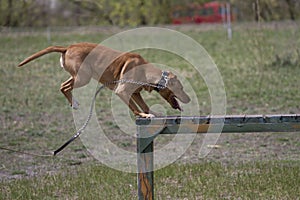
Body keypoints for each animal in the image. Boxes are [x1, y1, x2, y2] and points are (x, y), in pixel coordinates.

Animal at [18, 42, 190, 117]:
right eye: (181, 88)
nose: (188, 99)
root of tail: (67, 48)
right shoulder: (122, 92)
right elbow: (135, 108)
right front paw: (144, 116)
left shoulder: (135, 93)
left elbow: (145, 106)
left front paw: (152, 113)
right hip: (83, 78)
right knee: (63, 86)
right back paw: (74, 103)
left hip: (77, 76)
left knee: (64, 85)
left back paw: (74, 103)